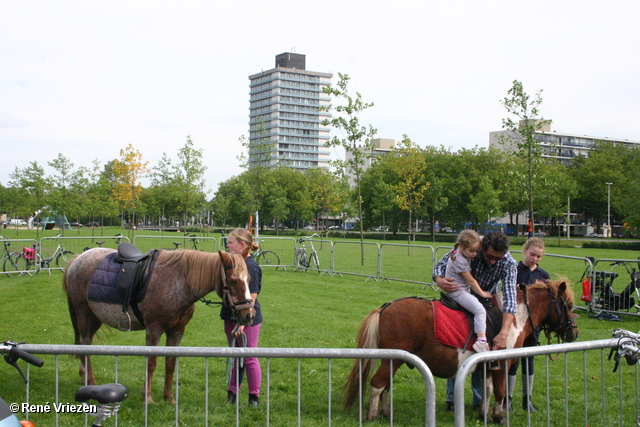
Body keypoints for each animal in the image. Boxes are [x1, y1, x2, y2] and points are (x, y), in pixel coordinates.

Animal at [63, 247, 254, 404]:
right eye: (234, 281)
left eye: (248, 279)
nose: (248, 315)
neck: (180, 282)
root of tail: (78, 258)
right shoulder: (153, 330)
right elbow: (152, 363)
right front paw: (147, 397)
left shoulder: (177, 331)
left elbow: (170, 363)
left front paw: (168, 397)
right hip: (84, 314)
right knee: (85, 345)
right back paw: (92, 383)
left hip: (94, 318)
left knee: (84, 344)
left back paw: (84, 377)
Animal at [344, 280, 580, 422]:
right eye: (568, 305)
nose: (574, 332)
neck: (513, 317)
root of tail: (385, 308)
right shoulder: (502, 363)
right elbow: (500, 392)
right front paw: (499, 417)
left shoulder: (488, 365)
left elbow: (488, 390)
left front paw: (485, 414)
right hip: (392, 359)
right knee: (377, 383)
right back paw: (372, 415)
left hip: (393, 359)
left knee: (385, 385)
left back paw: (385, 412)